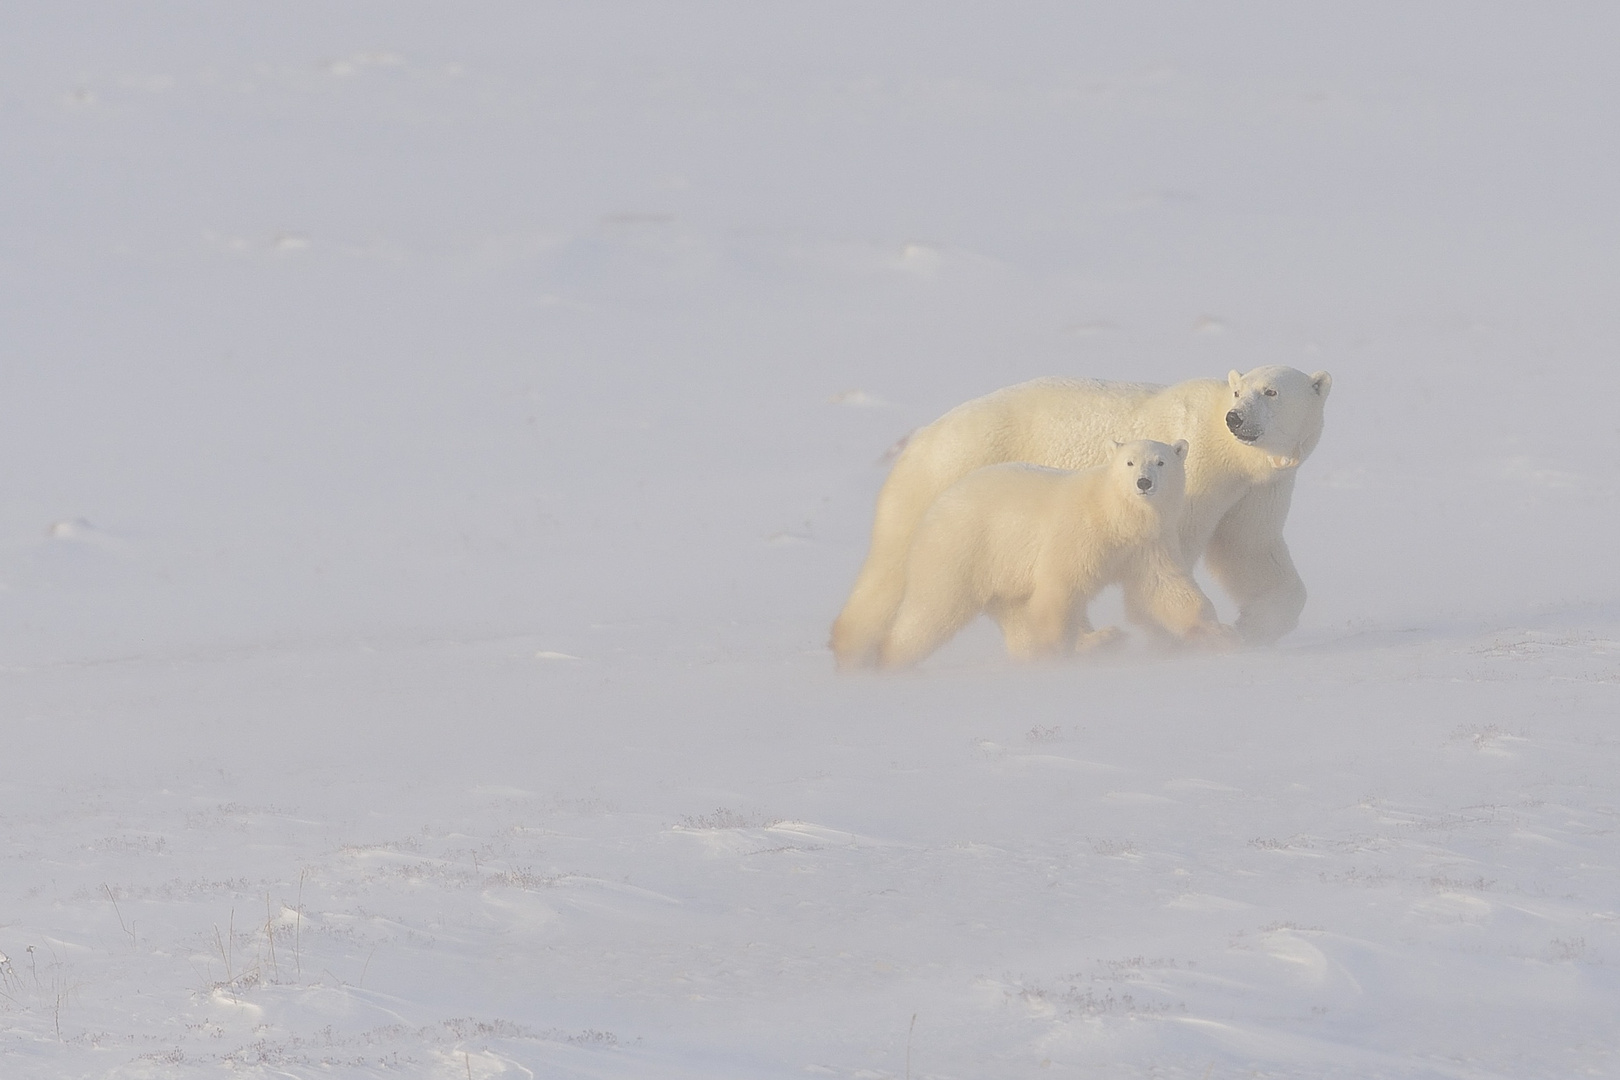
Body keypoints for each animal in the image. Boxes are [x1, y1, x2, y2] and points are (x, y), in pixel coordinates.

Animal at [835, 365, 1328, 667]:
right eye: (1238, 391)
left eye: (1272, 391)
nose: (1236, 418)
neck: (1228, 450)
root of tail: (922, 435)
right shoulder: (1199, 477)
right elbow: (1170, 556)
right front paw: (1177, 637)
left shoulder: (1257, 489)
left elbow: (1251, 549)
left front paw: (1254, 625)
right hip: (947, 479)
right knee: (895, 565)